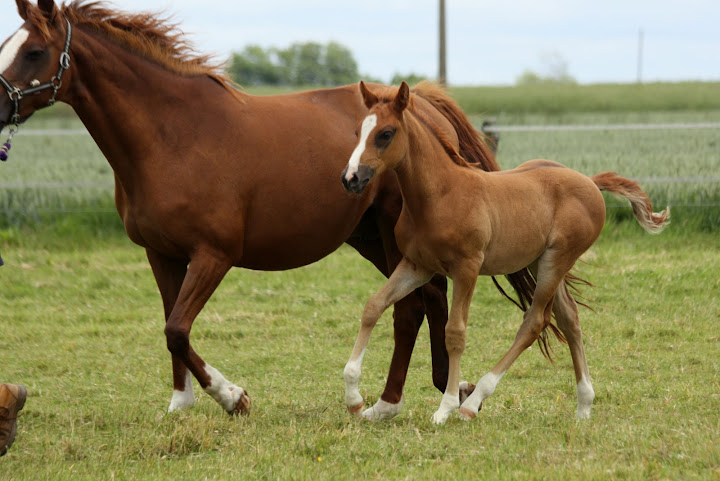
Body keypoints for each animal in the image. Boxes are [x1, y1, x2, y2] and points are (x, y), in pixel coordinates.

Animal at [0, 0, 520, 416]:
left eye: (34, 51)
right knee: (430, 298)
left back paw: (388, 403)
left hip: (392, 235)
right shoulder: (161, 254)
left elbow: (177, 329)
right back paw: (446, 388)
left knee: (410, 309)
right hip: (375, 238)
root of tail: (423, 106)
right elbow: (170, 327)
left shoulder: (213, 255)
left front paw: (233, 397)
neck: (173, 136)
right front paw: (181, 403)